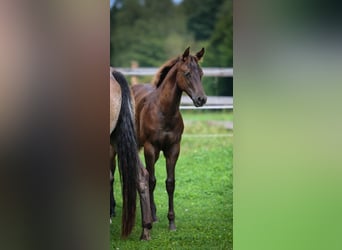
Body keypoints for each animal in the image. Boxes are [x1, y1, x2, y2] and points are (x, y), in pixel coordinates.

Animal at [131, 47, 206, 230]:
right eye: (187, 73)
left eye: (201, 73)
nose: (201, 99)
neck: (164, 112)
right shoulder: (150, 148)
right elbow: (152, 181)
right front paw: (153, 217)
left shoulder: (173, 149)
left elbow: (170, 183)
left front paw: (171, 221)